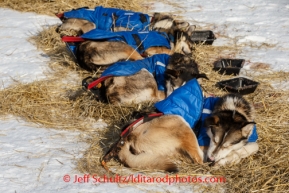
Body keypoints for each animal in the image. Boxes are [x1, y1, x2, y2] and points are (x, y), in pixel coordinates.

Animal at [102, 92, 258, 171]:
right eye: (214, 140)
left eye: (226, 144)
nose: (212, 159)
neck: (232, 110)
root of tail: (128, 137)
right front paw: (226, 159)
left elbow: (253, 146)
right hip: (181, 124)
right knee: (199, 159)